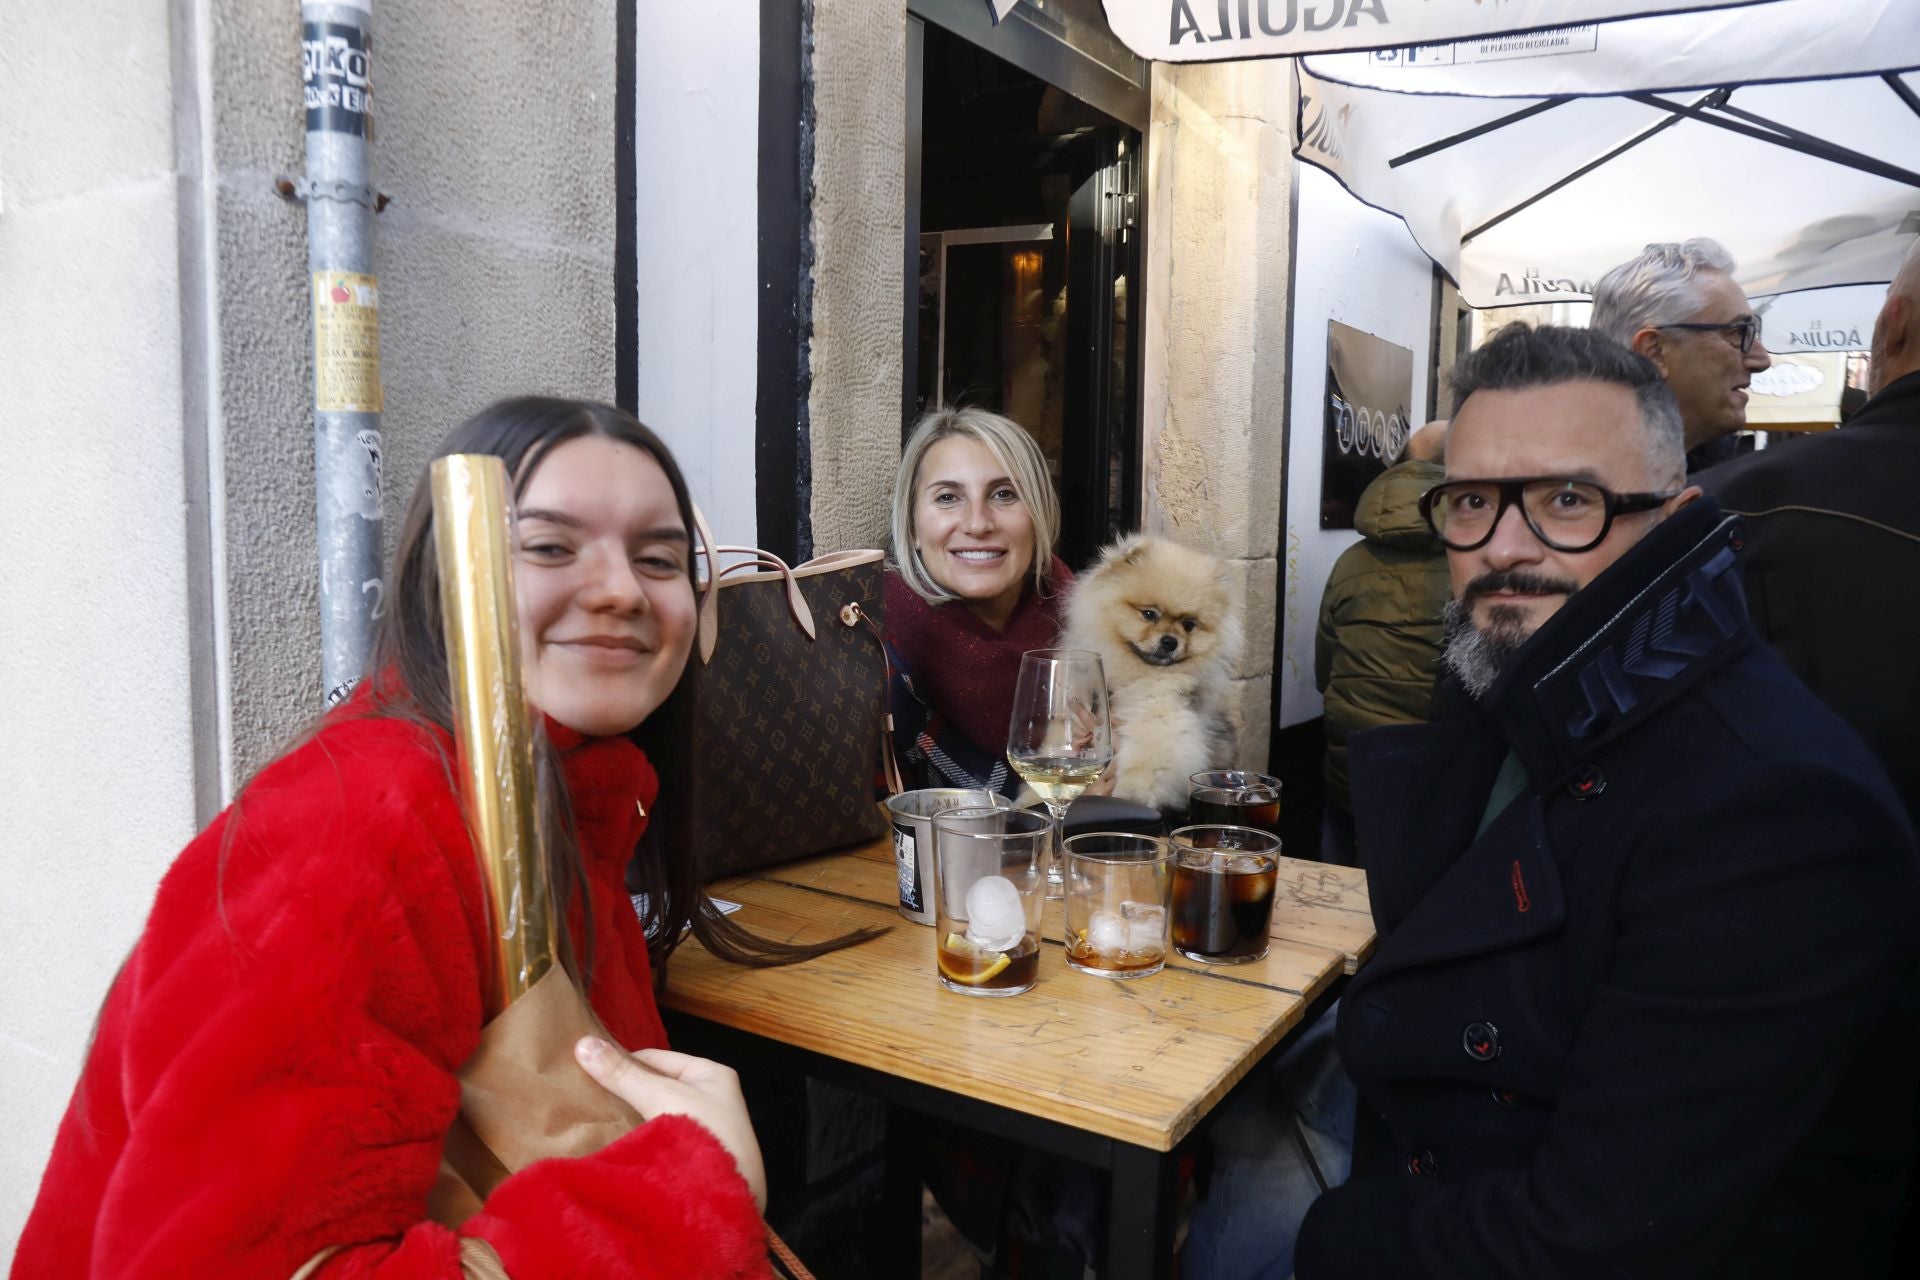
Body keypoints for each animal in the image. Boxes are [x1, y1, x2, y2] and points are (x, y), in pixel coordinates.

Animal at [1067, 537, 1244, 817]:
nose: (1170, 641)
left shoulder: (1159, 715)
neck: (1137, 672)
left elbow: (1148, 763)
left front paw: (1131, 796)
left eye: (1189, 625)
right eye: (1149, 614)